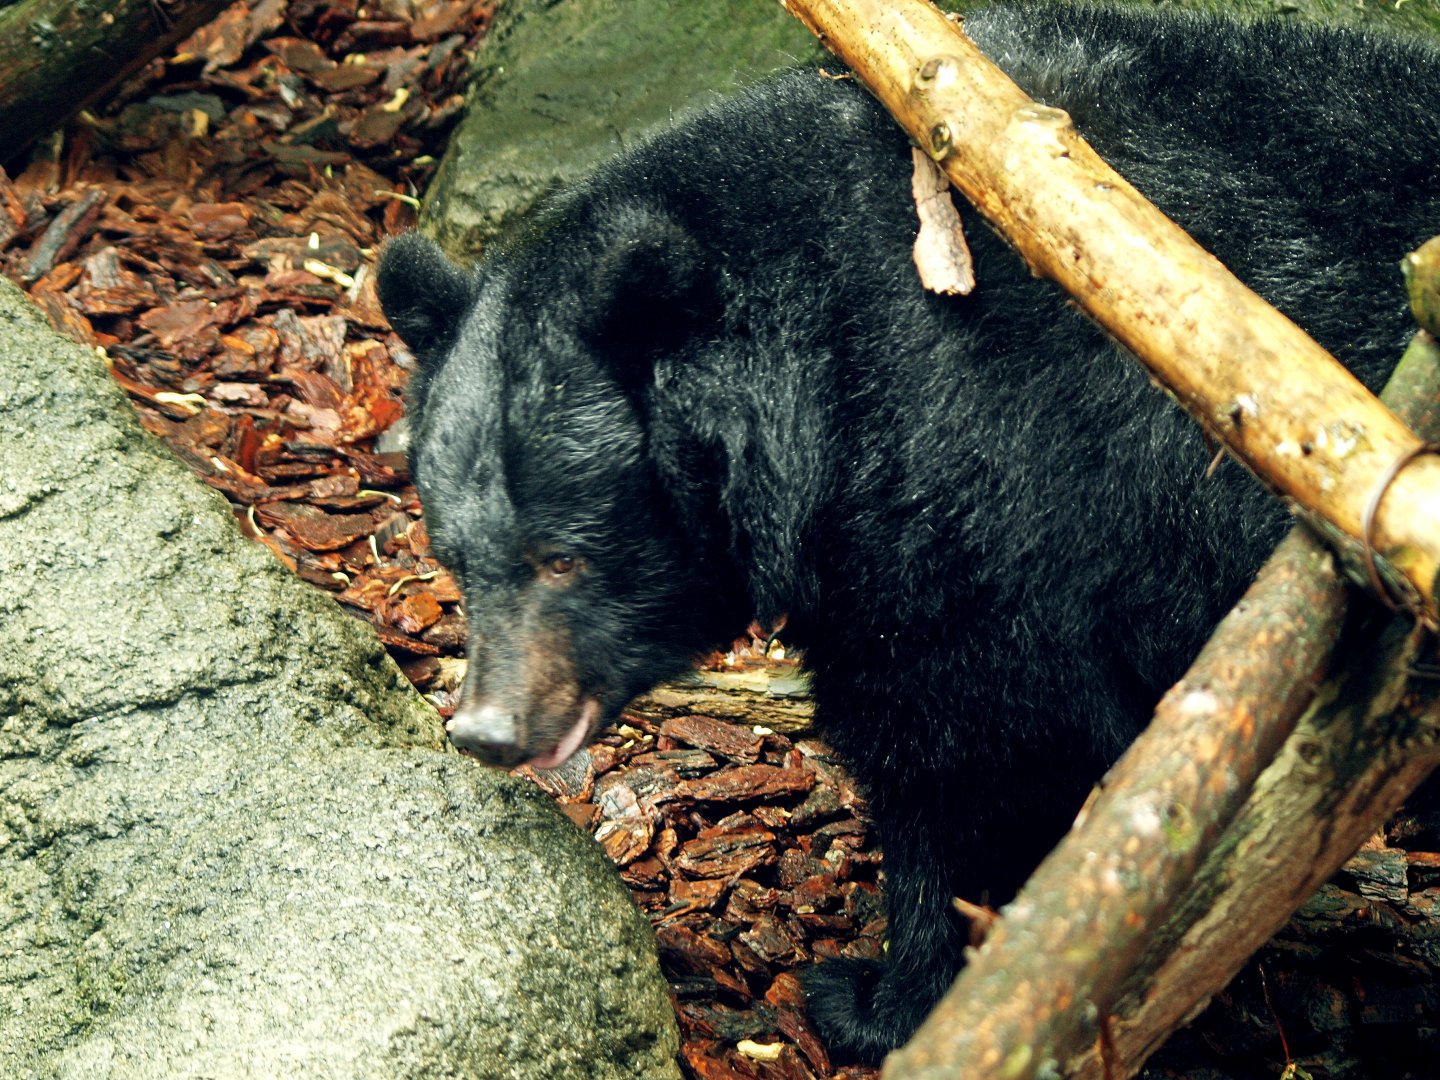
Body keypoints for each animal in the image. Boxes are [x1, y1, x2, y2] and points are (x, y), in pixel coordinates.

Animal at [376, 2, 1440, 1063]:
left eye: (564, 558)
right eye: (456, 560)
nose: (488, 732)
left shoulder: (990, 483)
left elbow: (987, 753)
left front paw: (881, 999)